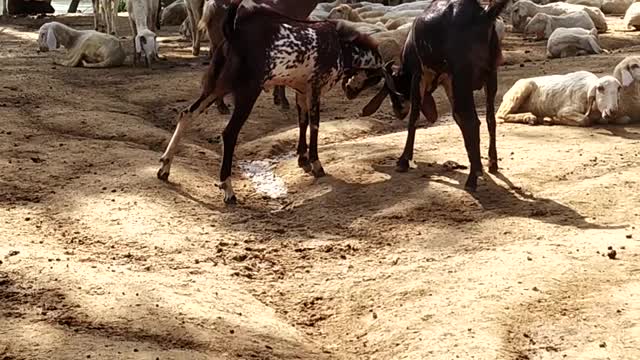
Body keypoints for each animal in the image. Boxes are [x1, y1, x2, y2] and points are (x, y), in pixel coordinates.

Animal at [156, 0, 384, 204]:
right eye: (374, 78)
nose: (351, 94)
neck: (341, 45)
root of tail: (233, 32)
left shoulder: (301, 91)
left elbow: (302, 122)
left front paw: (302, 158)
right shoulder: (316, 90)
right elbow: (315, 126)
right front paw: (316, 164)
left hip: (215, 86)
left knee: (187, 114)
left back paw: (165, 167)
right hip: (247, 92)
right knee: (229, 133)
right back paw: (228, 190)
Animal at [362, 0, 508, 193]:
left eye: (393, 92)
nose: (398, 112)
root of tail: (484, 15)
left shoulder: (419, 75)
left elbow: (414, 117)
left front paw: (403, 160)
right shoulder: (448, 81)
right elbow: (457, 117)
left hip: (462, 77)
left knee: (471, 121)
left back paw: (472, 178)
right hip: (491, 75)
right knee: (489, 119)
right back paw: (491, 164)